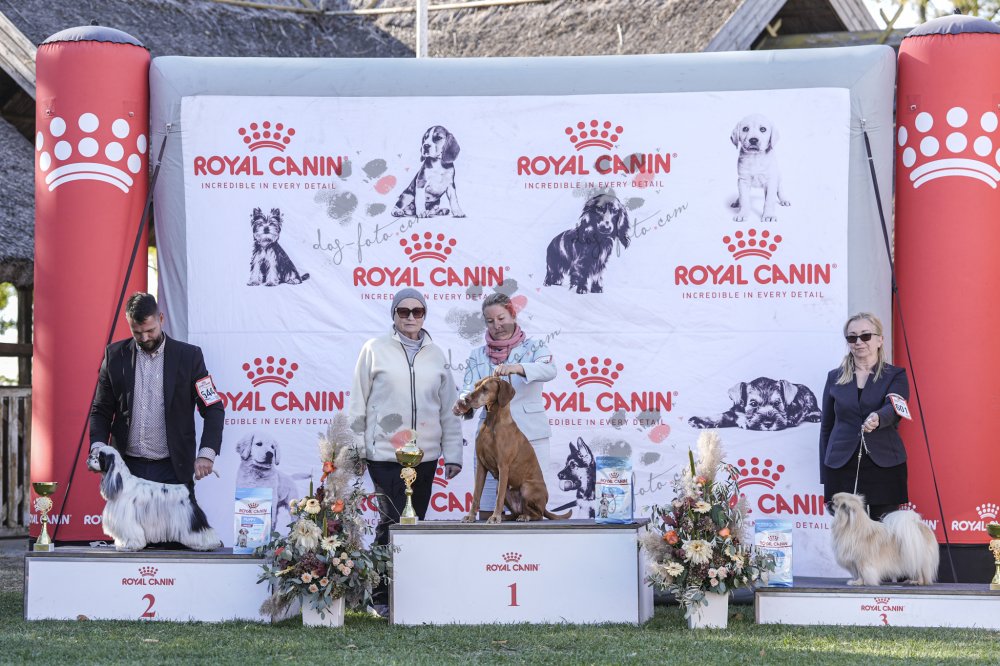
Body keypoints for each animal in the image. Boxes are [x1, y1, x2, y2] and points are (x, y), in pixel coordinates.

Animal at [86, 444, 222, 552]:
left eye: (100, 456)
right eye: (95, 453)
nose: (89, 456)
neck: (122, 483)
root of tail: (188, 486)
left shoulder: (127, 518)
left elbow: (131, 533)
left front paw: (130, 546)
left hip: (190, 518)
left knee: (201, 530)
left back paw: (208, 545)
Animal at [688, 376, 822, 431]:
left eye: (777, 403)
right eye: (753, 403)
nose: (768, 423)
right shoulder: (733, 412)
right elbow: (718, 416)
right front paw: (697, 420)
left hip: (810, 400)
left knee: (816, 409)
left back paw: (815, 416)